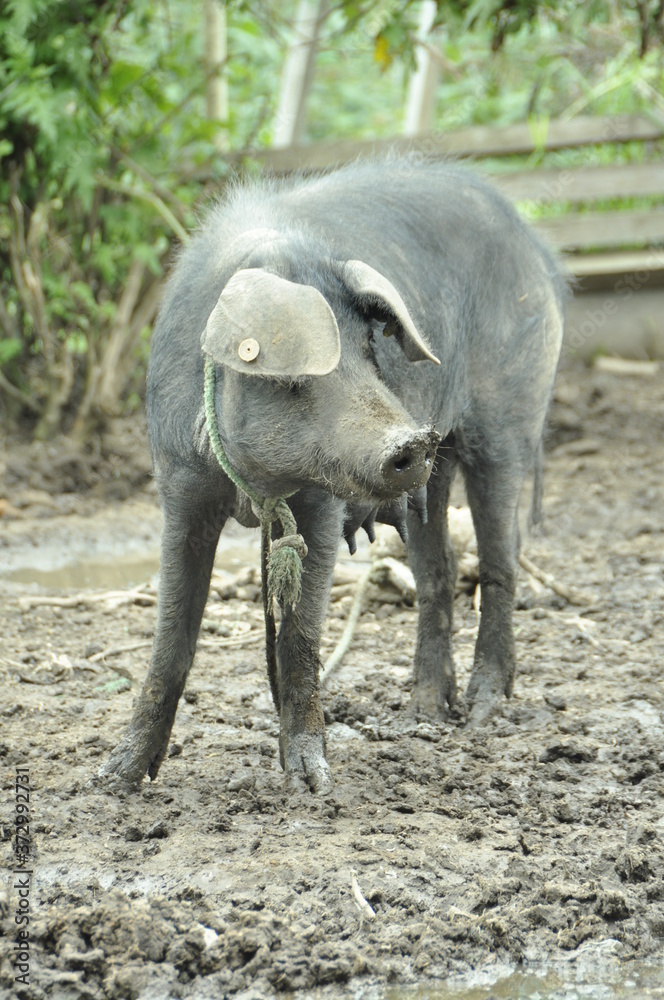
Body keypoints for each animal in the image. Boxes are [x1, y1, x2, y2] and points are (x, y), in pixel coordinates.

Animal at [99, 158, 565, 794]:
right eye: (297, 377)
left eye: (370, 349)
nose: (411, 439)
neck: (255, 487)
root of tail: (532, 245)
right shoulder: (180, 488)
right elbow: (172, 636)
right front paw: (112, 780)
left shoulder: (322, 501)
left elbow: (300, 636)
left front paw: (311, 782)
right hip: (439, 473)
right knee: (437, 572)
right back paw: (423, 712)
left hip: (509, 419)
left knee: (501, 559)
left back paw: (483, 711)